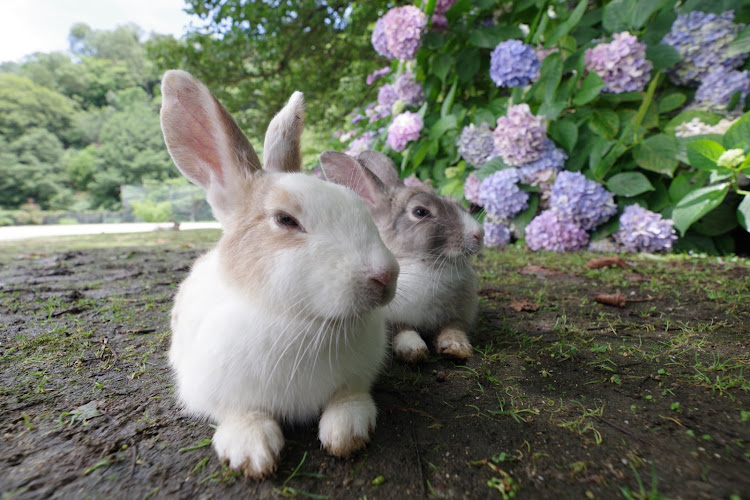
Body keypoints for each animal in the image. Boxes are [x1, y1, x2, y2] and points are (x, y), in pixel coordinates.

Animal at [162, 69, 402, 476]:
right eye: (285, 220)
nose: (386, 276)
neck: (304, 323)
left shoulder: (357, 378)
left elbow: (348, 398)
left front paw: (346, 433)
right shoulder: (215, 389)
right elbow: (239, 412)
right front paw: (251, 452)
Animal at [320, 148, 484, 364]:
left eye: (456, 203)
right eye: (421, 212)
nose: (479, 234)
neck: (427, 263)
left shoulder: (456, 317)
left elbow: (452, 329)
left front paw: (457, 347)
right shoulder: (393, 317)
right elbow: (403, 330)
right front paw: (413, 350)